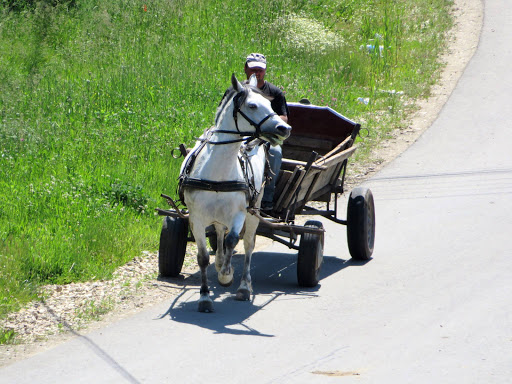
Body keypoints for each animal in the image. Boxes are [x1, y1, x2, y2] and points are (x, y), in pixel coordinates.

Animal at [180, 73, 292, 312]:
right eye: (252, 105)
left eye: (271, 104)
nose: (284, 129)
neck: (218, 172)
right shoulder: (196, 217)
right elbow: (203, 256)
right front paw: (205, 297)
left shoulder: (240, 212)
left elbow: (233, 241)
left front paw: (226, 276)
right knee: (220, 232)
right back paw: (220, 262)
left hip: (254, 210)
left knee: (248, 244)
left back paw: (243, 287)